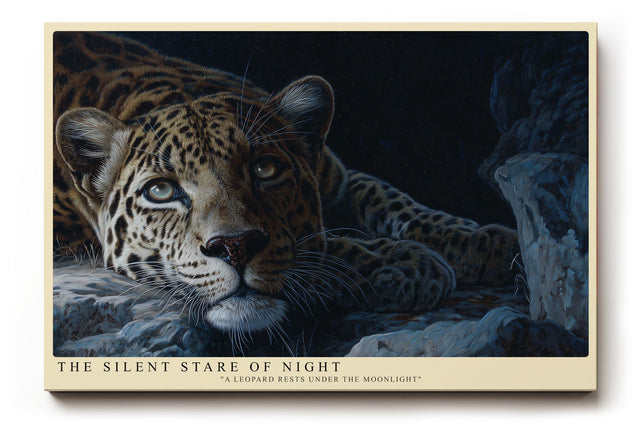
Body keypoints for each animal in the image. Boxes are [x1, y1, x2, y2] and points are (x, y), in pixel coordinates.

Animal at [53, 32, 519, 342]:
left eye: (264, 169)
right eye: (161, 192)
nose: (235, 247)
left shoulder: (338, 177)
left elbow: (389, 197)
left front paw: (487, 241)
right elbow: (320, 245)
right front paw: (402, 262)